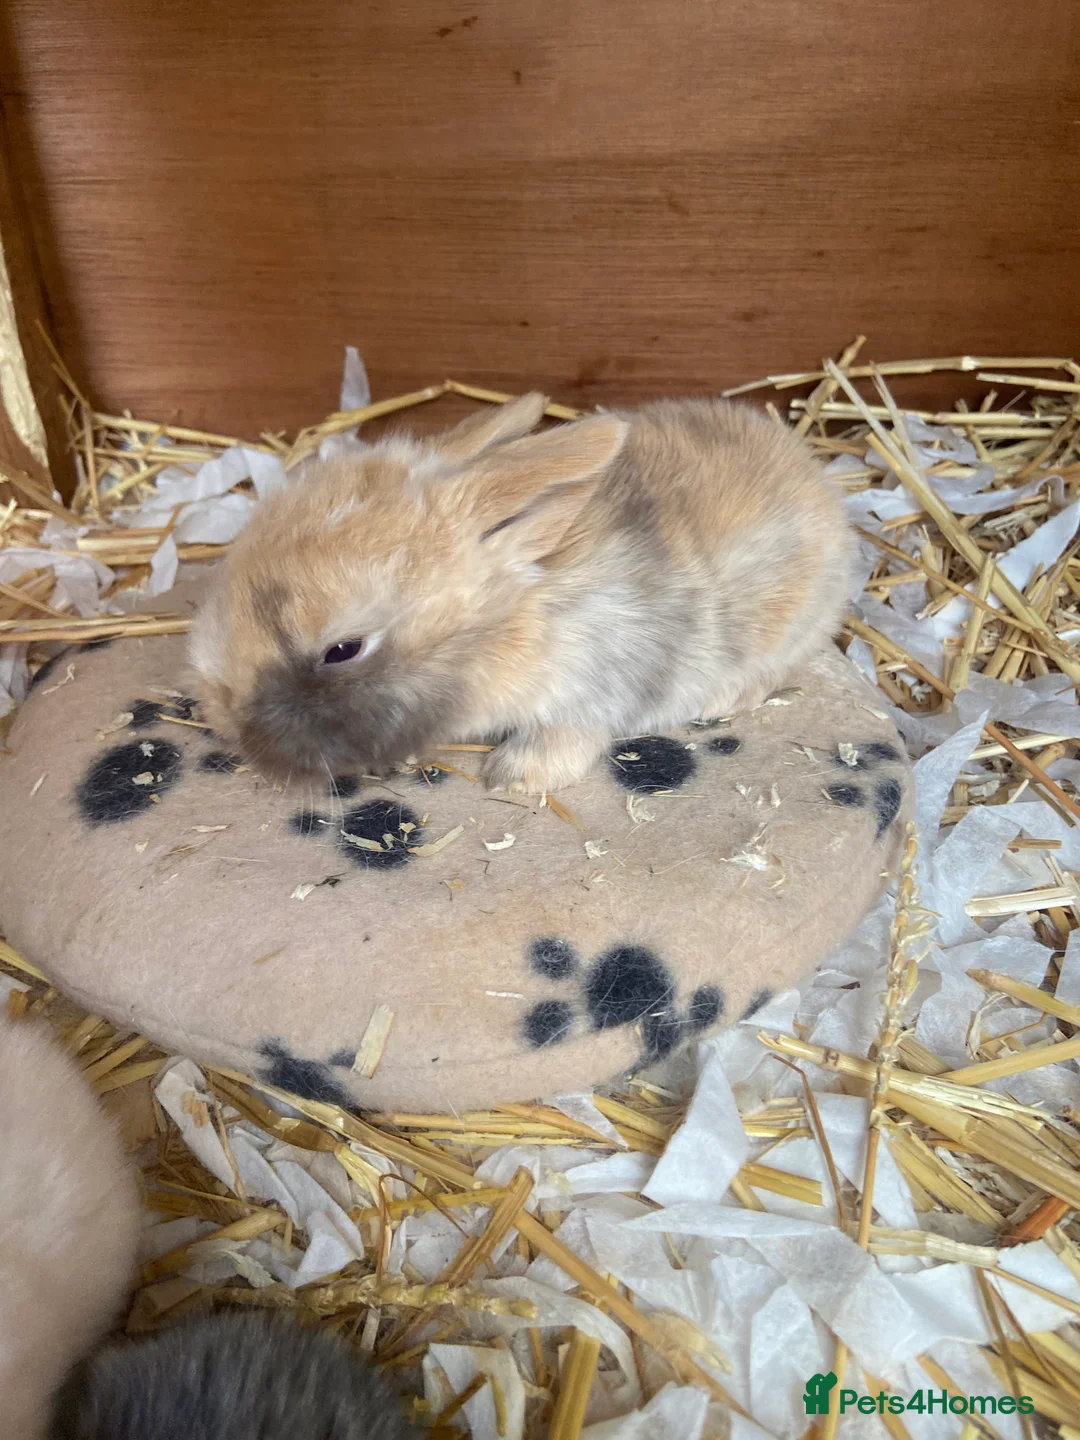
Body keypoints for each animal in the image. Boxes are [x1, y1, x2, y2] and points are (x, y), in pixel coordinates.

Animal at [190, 393, 852, 795]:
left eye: (342, 649)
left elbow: (565, 738)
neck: (510, 624)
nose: (225, 723)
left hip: (792, 624)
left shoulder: (588, 691)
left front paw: (511, 779)